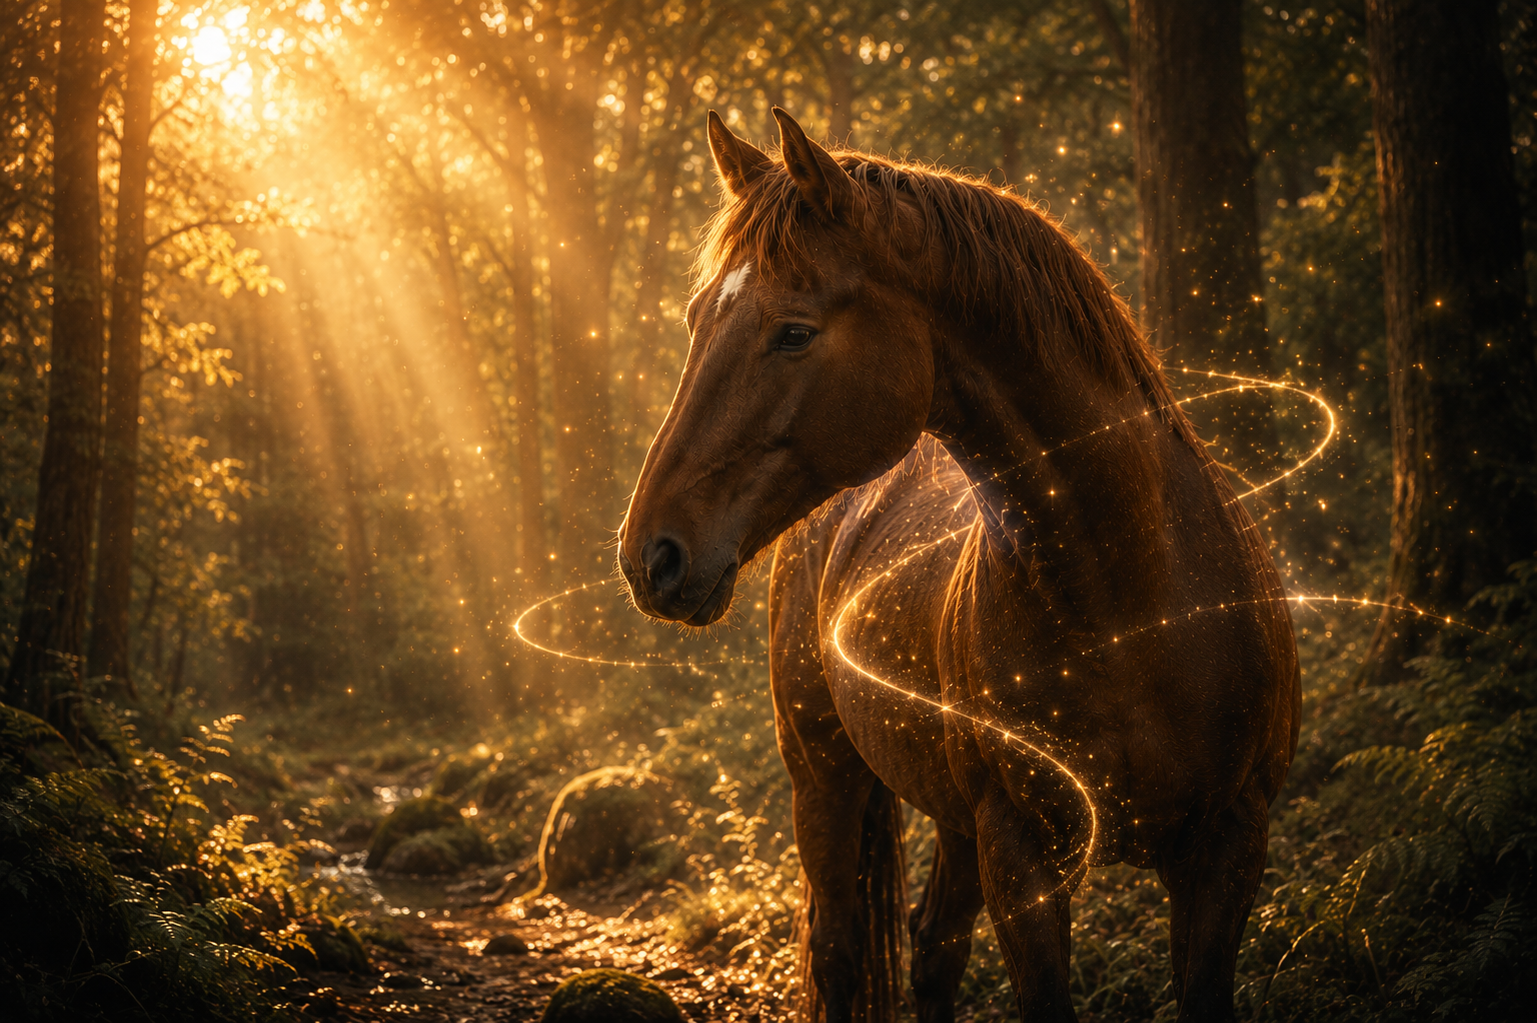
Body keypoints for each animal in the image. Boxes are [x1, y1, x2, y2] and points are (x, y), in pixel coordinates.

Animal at [618, 108, 1299, 1023]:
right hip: (824, 778)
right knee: (838, 949)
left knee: (934, 945)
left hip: (951, 821)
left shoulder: (1227, 845)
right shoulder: (1021, 857)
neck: (1135, 603)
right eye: (696, 320)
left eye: (793, 331)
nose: (650, 553)